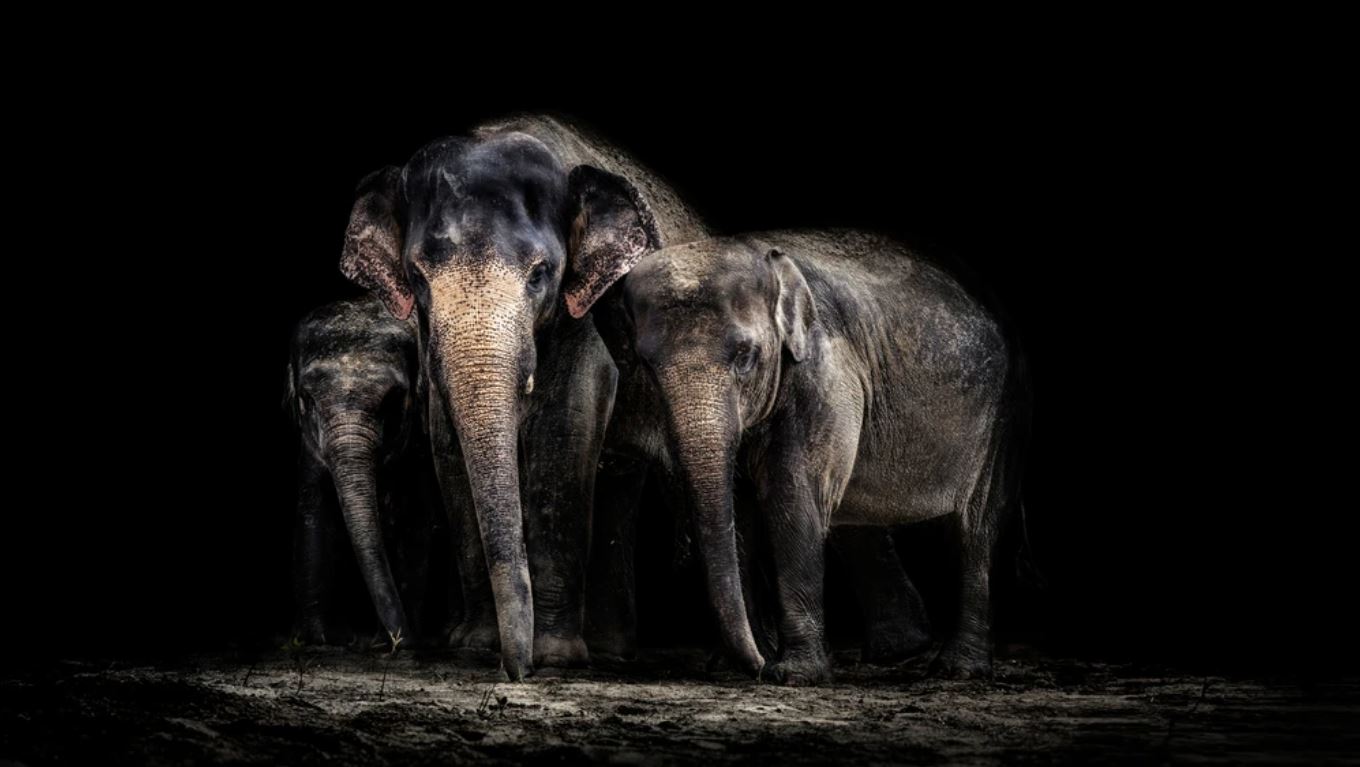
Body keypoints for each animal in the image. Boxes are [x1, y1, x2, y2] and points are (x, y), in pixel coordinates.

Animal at [287, 296, 434, 650]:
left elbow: (414, 520)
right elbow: (313, 510)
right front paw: (321, 638)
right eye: (308, 399)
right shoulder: (310, 446)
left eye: (394, 400)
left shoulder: (419, 443)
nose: (396, 641)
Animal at [337, 115, 711, 679]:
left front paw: (553, 656)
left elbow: (564, 432)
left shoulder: (587, 314)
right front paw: (476, 646)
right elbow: (448, 445)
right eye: (418, 277)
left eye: (540, 274)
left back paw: (605, 653)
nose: (517, 671)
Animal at [572, 228, 1029, 685]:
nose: (757, 663)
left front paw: (791, 674)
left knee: (975, 528)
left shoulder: (825, 375)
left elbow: (792, 496)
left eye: (745, 356)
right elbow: (740, 510)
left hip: (1002, 416)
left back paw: (957, 669)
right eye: (646, 364)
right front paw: (736, 665)